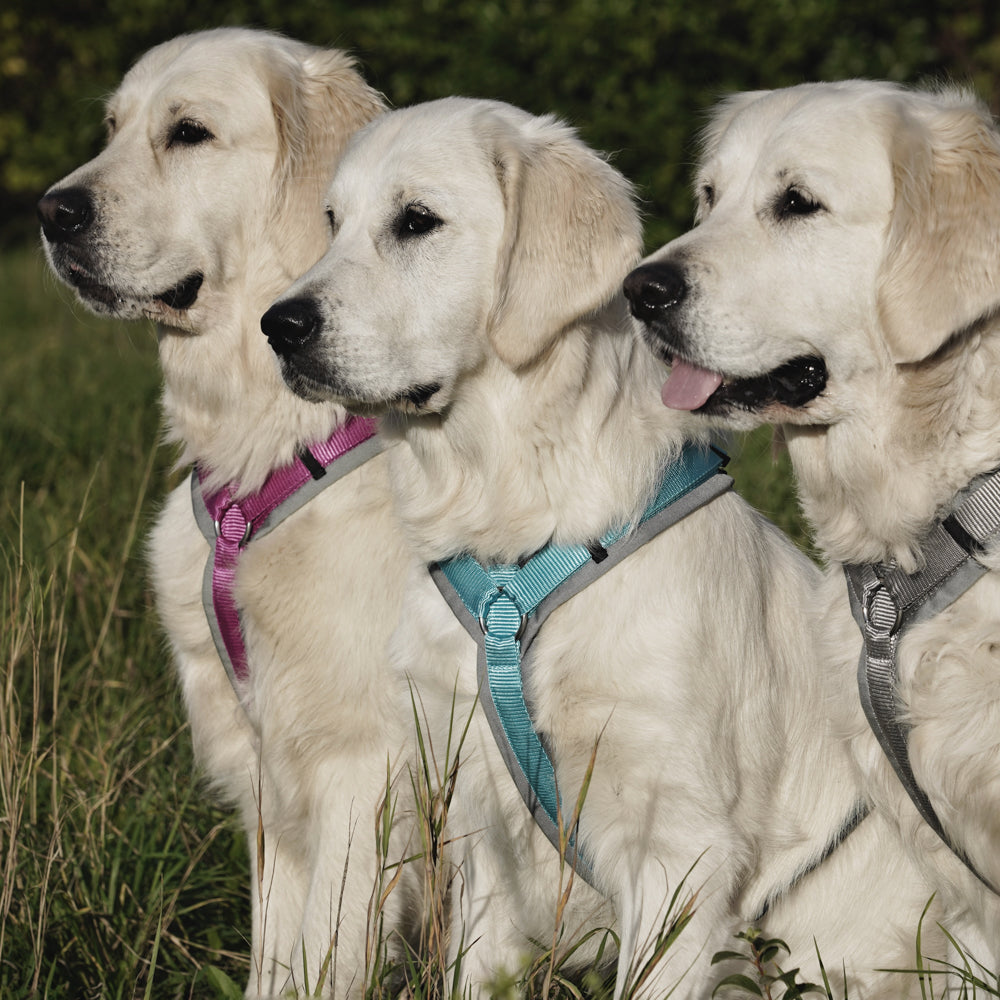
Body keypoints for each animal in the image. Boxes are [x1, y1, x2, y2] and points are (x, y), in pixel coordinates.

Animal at [34, 27, 410, 996]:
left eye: (189, 133)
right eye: (113, 127)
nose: (52, 212)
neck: (272, 450)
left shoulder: (364, 770)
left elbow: (329, 960)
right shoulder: (265, 770)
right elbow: (275, 961)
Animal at [262, 95, 940, 1000]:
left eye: (416, 221)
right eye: (331, 222)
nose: (278, 326)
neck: (516, 554)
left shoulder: (679, 843)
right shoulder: (484, 831)